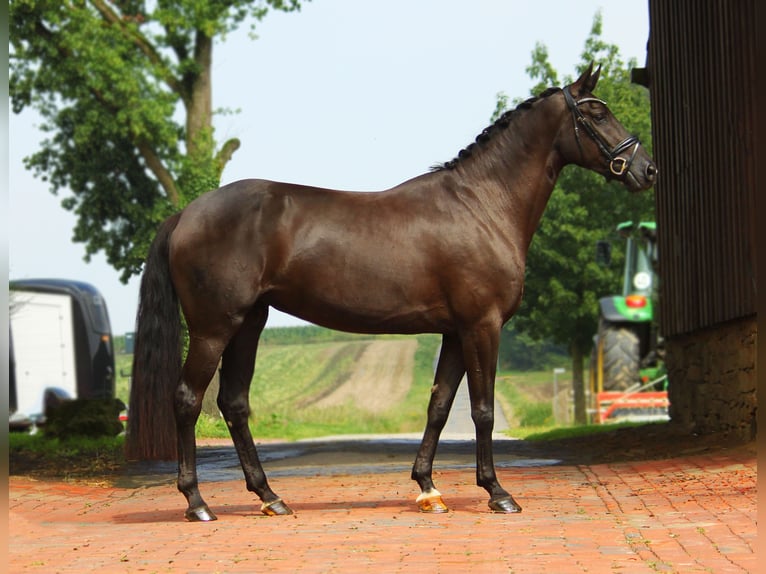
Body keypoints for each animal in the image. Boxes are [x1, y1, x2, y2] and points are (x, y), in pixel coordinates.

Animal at [127, 65, 660, 524]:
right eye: (596, 113)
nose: (647, 170)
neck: (482, 204)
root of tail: (187, 213)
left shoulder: (454, 332)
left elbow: (440, 405)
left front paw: (428, 488)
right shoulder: (482, 326)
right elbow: (482, 409)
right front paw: (497, 492)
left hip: (249, 324)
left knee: (234, 403)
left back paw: (269, 496)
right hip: (214, 328)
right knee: (187, 399)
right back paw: (197, 503)